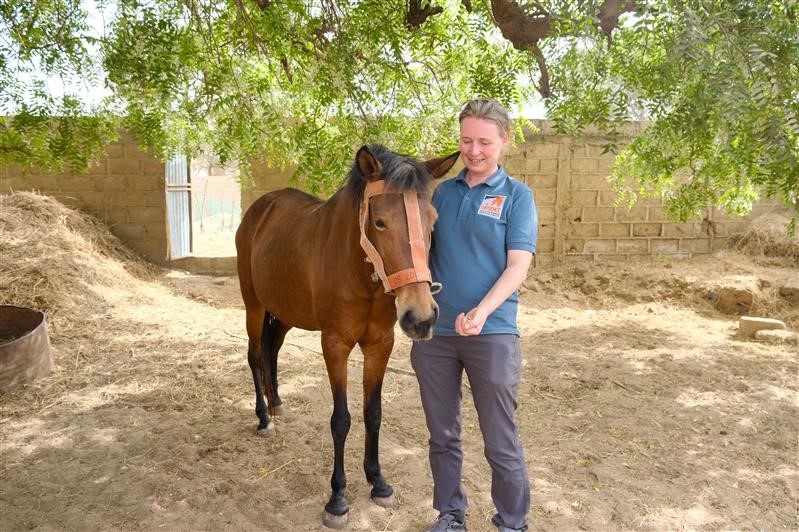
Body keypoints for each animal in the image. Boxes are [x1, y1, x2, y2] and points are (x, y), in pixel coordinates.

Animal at [235, 144, 460, 528]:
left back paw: (277, 402)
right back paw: (264, 417)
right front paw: (337, 499)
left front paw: (378, 482)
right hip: (254, 304)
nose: (421, 316)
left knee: (272, 349)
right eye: (379, 221)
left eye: (432, 222)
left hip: (285, 311)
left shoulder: (380, 345)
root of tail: (260, 208)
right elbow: (341, 420)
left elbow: (373, 413)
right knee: (255, 356)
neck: (358, 271)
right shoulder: (335, 345)